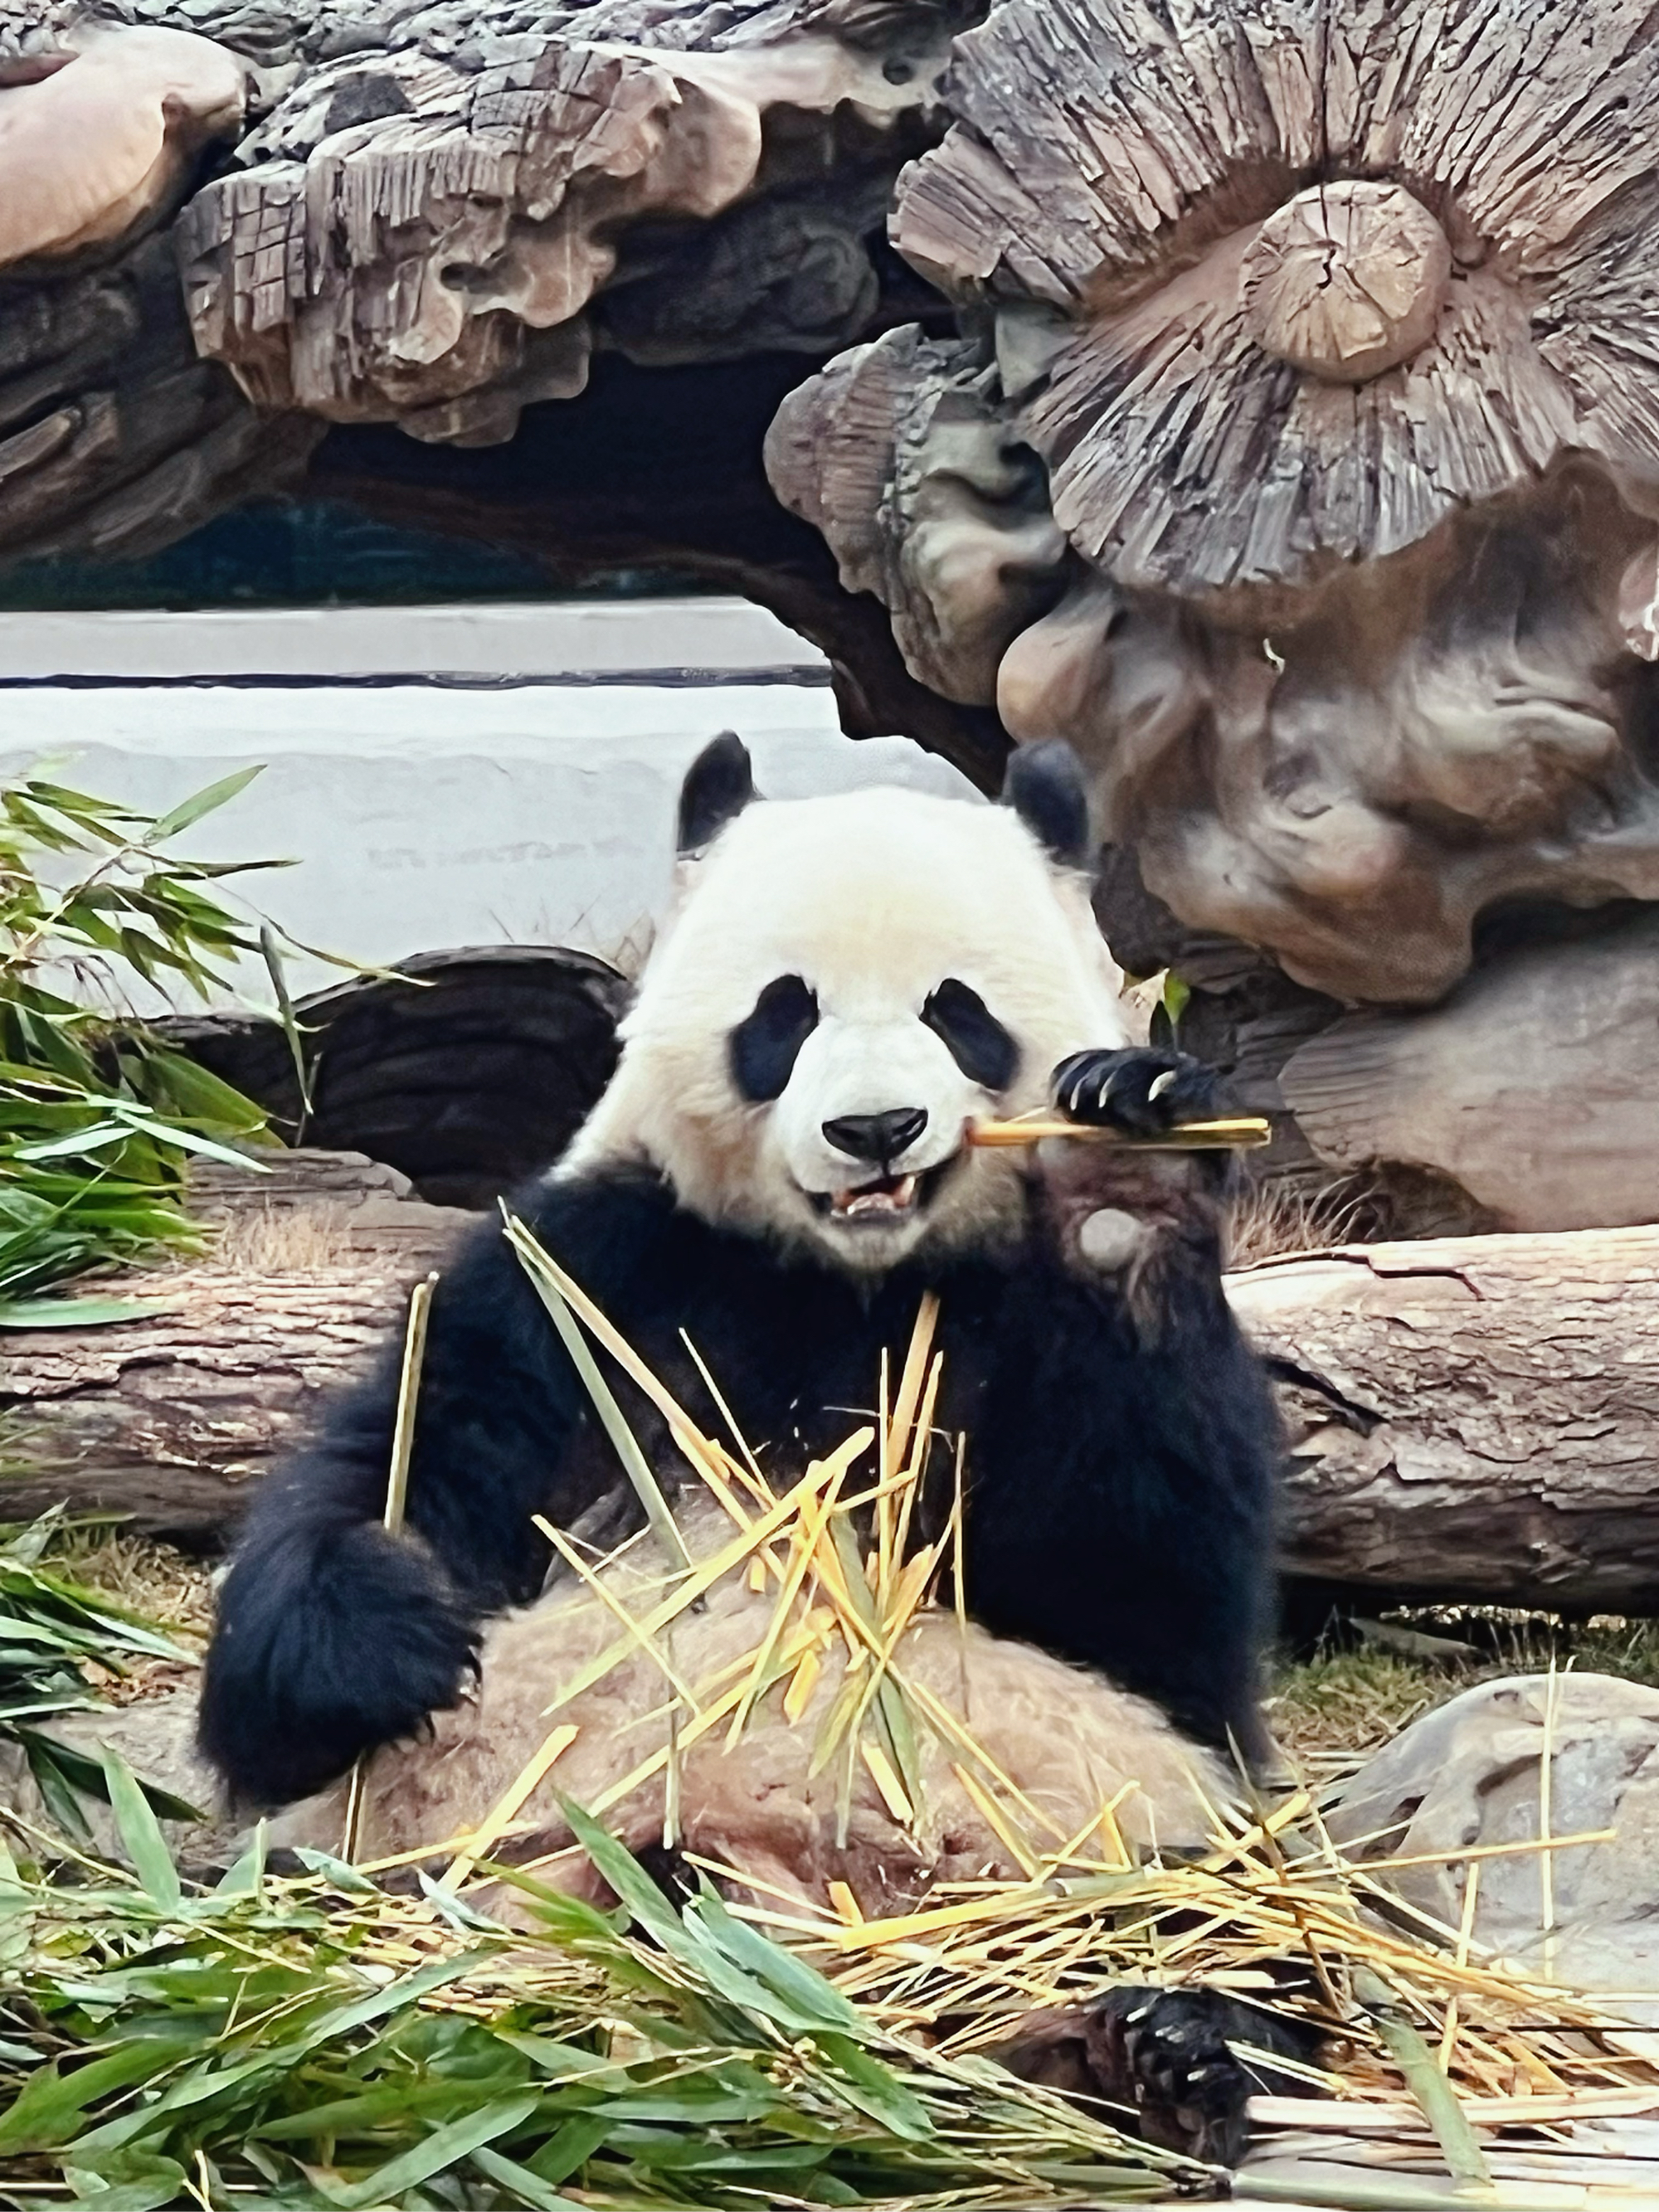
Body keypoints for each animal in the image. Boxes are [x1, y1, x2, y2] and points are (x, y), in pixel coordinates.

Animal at [201, 738, 1282, 1813]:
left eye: (956, 1011)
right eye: (784, 1014)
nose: (875, 1128)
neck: (851, 1282)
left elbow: (1142, 1617)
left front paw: (1123, 1175)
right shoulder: (602, 1272)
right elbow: (413, 1449)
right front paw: (383, 1626)